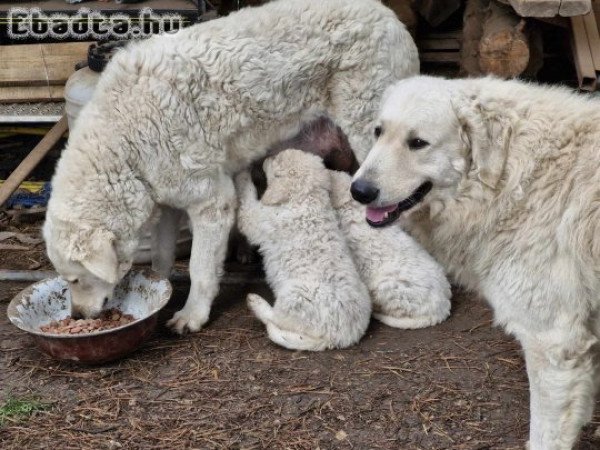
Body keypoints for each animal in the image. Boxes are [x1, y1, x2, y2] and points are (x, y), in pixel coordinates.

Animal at [236, 149, 370, 350]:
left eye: (276, 160)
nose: (267, 157)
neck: (307, 199)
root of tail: (339, 338)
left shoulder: (258, 218)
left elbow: (247, 199)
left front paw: (242, 173)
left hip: (294, 297)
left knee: (276, 319)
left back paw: (255, 302)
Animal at [352, 75, 600, 448]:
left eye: (418, 143)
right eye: (378, 132)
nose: (358, 191)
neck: (512, 176)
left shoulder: (553, 343)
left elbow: (546, 434)